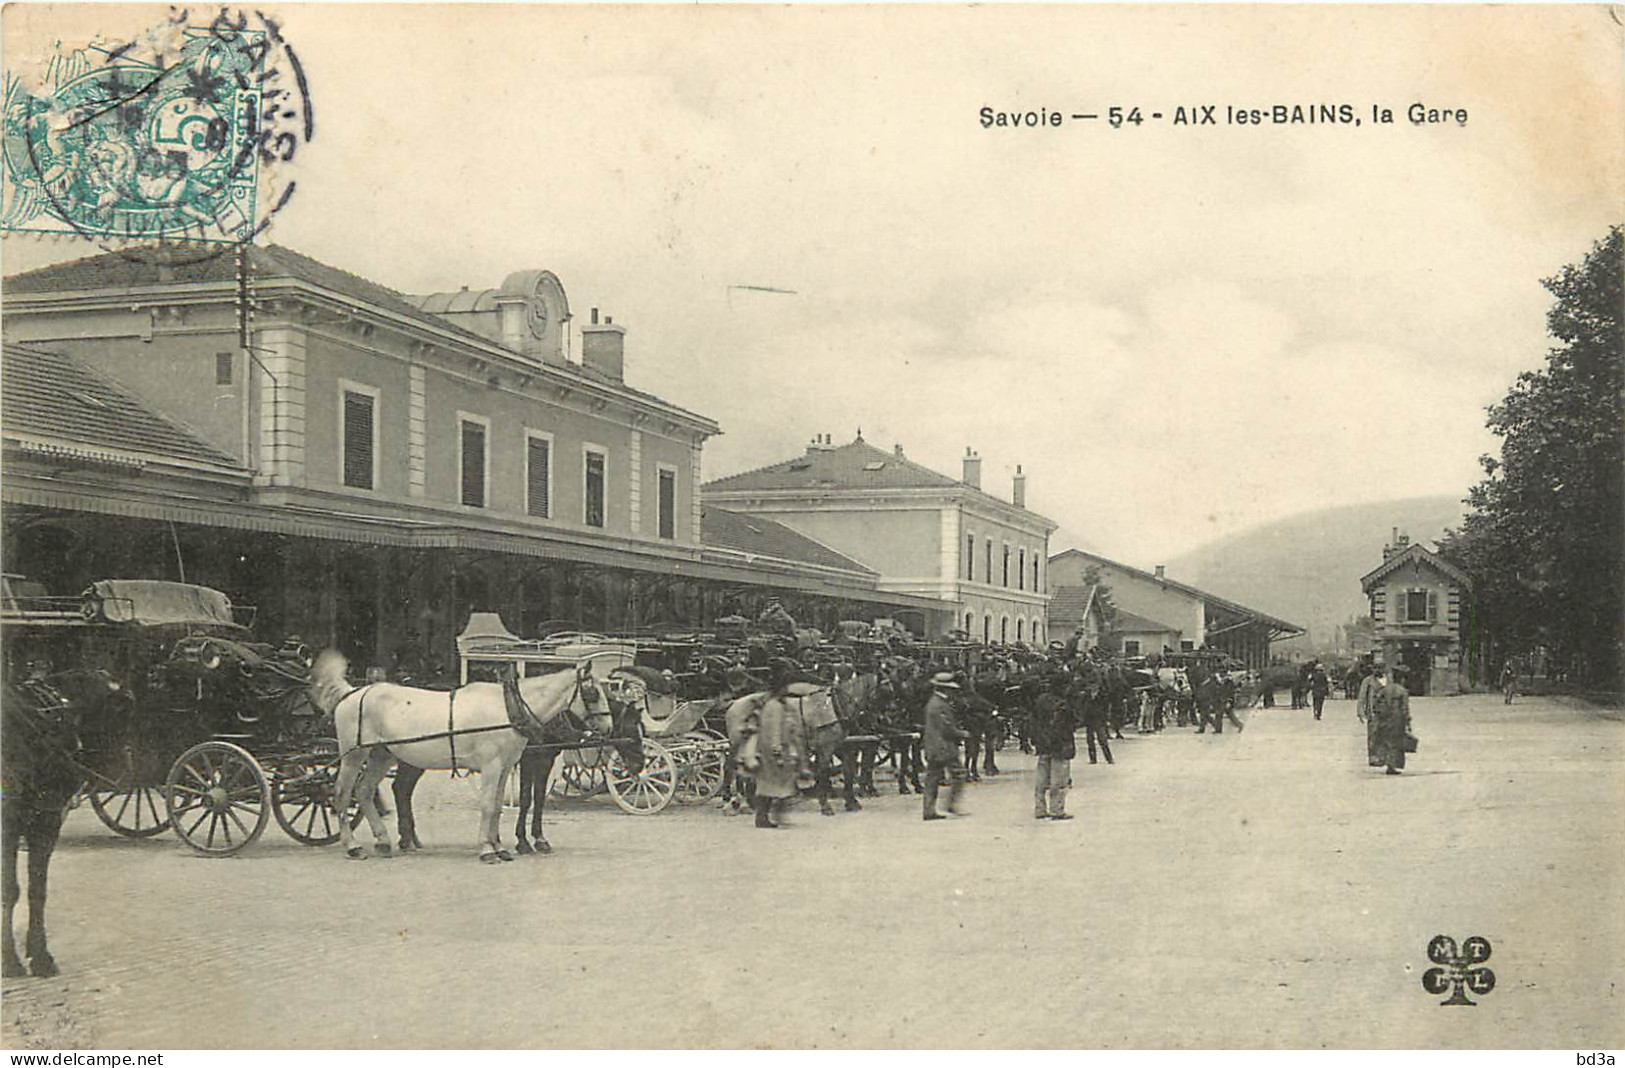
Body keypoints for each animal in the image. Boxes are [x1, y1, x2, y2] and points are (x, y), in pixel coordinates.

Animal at [2, 669, 123, 981]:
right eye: (118, 711)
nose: (118, 767)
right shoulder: (15, 827)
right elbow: (10, 890)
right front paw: (9, 960)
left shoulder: (46, 822)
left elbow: (37, 891)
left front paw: (40, 955)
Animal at [305, 646, 614, 864]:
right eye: (592, 693)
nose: (609, 727)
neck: (508, 708)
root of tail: (352, 692)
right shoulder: (492, 766)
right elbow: (488, 805)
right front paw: (487, 849)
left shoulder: (505, 767)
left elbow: (498, 806)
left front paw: (500, 847)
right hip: (354, 756)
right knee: (343, 794)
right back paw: (353, 846)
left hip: (383, 755)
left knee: (366, 790)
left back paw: (383, 841)